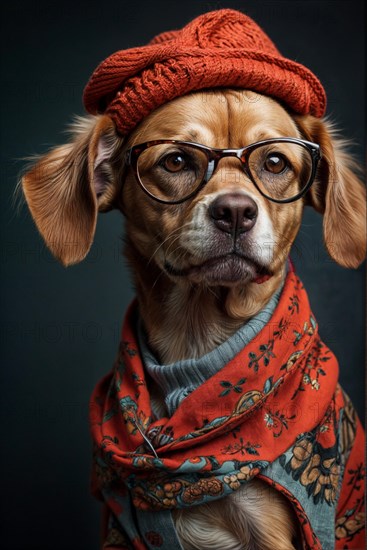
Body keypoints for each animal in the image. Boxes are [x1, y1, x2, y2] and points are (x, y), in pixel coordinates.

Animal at [21, 7, 366, 550]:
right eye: (177, 160)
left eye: (274, 161)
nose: (236, 212)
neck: (198, 340)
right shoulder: (122, 528)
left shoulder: (272, 531)